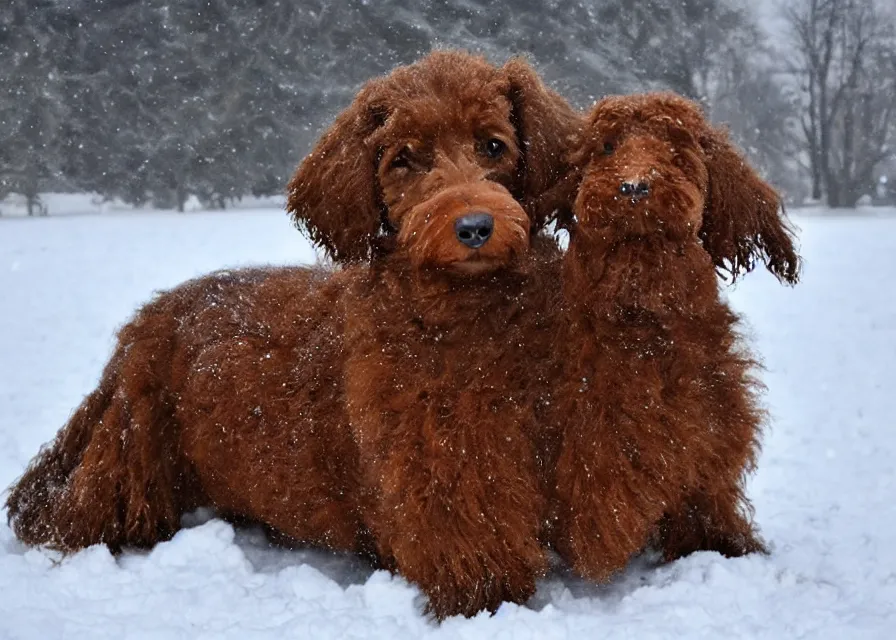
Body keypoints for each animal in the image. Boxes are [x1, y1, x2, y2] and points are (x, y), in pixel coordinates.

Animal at [3, 52, 576, 624]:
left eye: (494, 145)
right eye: (403, 160)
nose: (474, 227)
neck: (464, 319)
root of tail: (146, 317)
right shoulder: (442, 485)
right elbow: (481, 569)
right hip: (128, 462)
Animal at [548, 91, 800, 584]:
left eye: (674, 147)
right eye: (607, 147)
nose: (633, 187)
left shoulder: (711, 423)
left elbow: (705, 496)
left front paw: (722, 546)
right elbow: (600, 486)